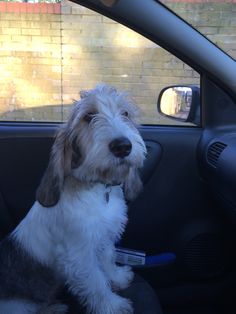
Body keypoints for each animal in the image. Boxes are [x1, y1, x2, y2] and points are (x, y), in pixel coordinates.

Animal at [0, 83, 147, 314]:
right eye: (88, 116)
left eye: (125, 113)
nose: (123, 146)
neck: (97, 190)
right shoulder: (79, 255)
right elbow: (96, 283)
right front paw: (112, 305)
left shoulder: (103, 237)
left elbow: (107, 260)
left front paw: (117, 278)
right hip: (18, 306)